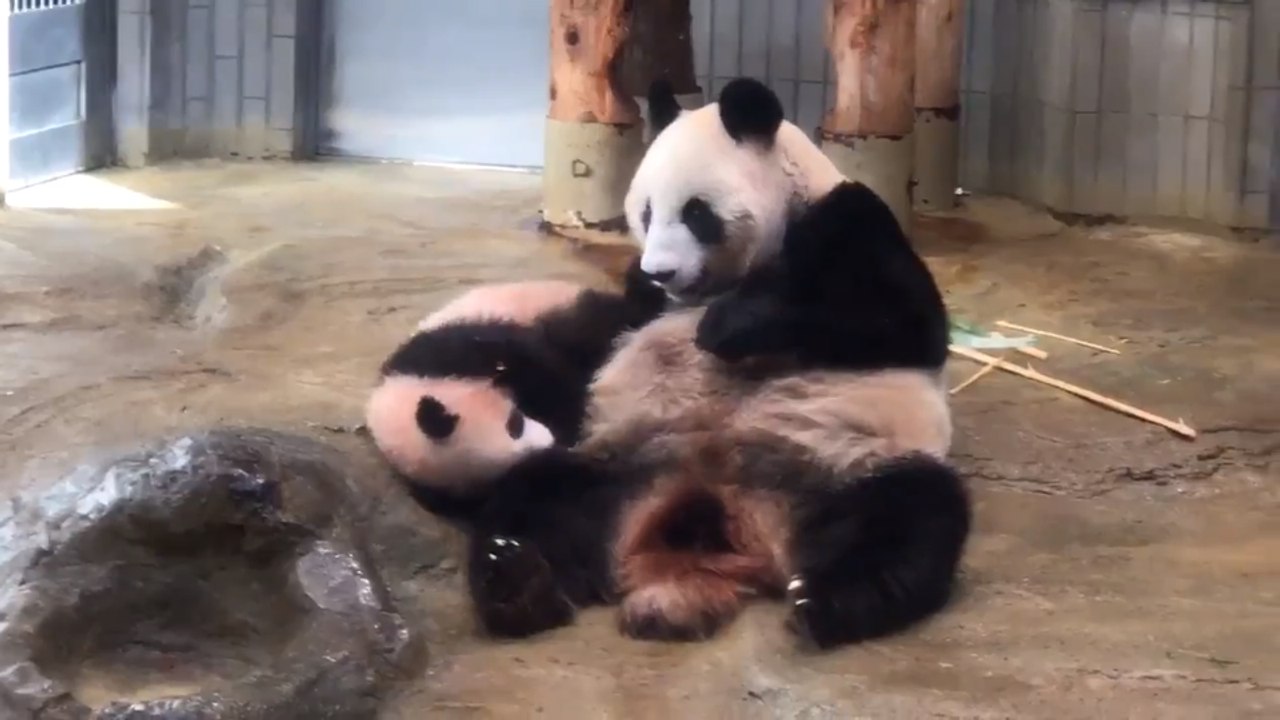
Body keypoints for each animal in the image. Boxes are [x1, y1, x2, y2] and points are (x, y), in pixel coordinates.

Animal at [458, 76, 971, 651]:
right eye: (646, 213)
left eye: (696, 213)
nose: (661, 270)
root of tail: (719, 527)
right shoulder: (641, 302)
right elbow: (601, 333)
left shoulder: (850, 224)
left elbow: (906, 321)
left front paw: (726, 326)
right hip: (617, 463)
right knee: (535, 494)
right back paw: (515, 581)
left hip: (842, 465)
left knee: (908, 518)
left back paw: (829, 601)